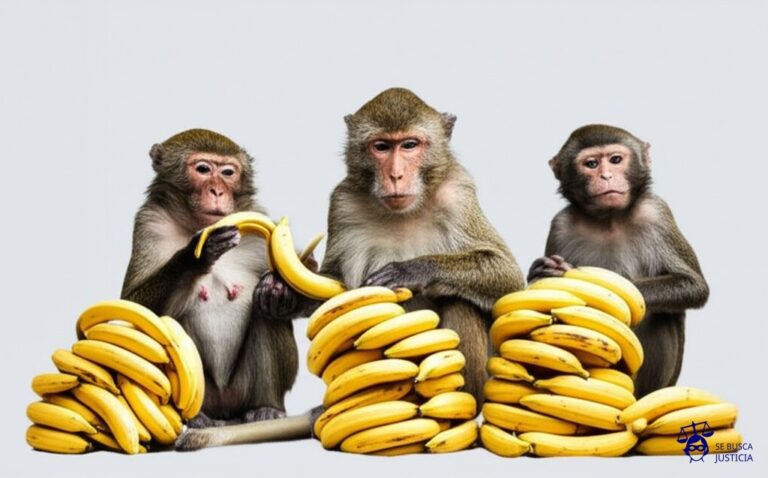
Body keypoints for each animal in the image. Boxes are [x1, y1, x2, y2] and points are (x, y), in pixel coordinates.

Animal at [121, 128, 298, 427]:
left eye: (228, 172)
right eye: (203, 169)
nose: (217, 191)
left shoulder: (259, 218)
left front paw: (278, 287)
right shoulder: (149, 222)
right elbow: (133, 309)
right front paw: (195, 256)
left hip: (241, 390)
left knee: (265, 312)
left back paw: (266, 407)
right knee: (171, 321)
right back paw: (197, 417)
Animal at [174, 89, 525, 451]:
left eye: (409, 145)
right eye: (381, 146)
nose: (395, 175)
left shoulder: (458, 193)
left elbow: (507, 276)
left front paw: (412, 270)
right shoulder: (342, 203)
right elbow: (335, 280)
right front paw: (281, 292)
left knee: (461, 302)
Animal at [527, 124, 709, 398]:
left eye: (615, 160)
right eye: (591, 164)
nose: (606, 177)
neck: (609, 219)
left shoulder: (657, 213)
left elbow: (694, 286)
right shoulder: (560, 226)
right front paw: (541, 272)